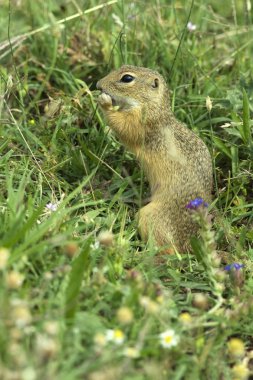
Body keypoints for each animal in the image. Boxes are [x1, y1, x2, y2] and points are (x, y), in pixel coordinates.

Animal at [97, 65, 213, 252]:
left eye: (127, 78)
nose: (98, 85)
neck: (153, 107)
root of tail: (188, 244)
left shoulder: (141, 123)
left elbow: (124, 126)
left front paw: (105, 103)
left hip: (150, 217)